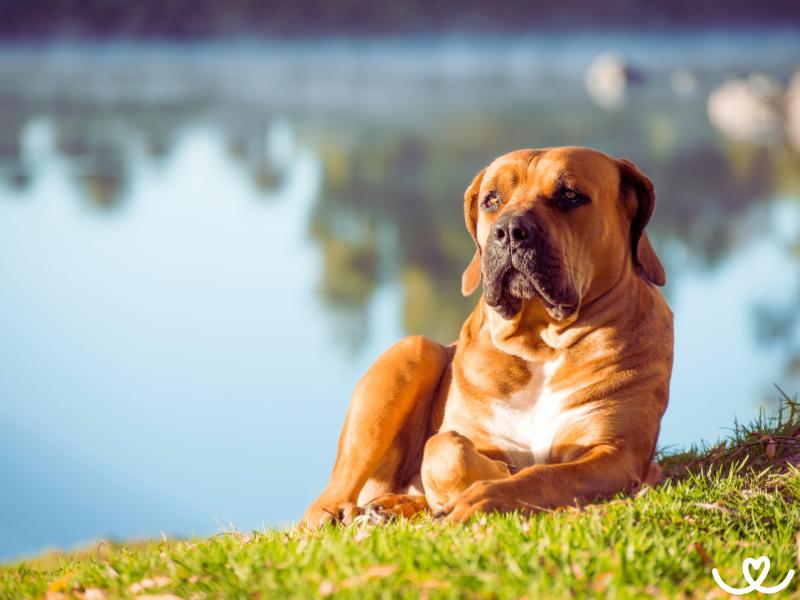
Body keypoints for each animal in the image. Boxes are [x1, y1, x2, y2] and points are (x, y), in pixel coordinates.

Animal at [304, 146, 672, 524]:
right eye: (491, 200)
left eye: (570, 195)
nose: (509, 229)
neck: (541, 344)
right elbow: (443, 449)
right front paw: (493, 473)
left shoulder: (617, 453)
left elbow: (545, 475)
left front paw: (488, 492)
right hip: (411, 352)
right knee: (326, 501)